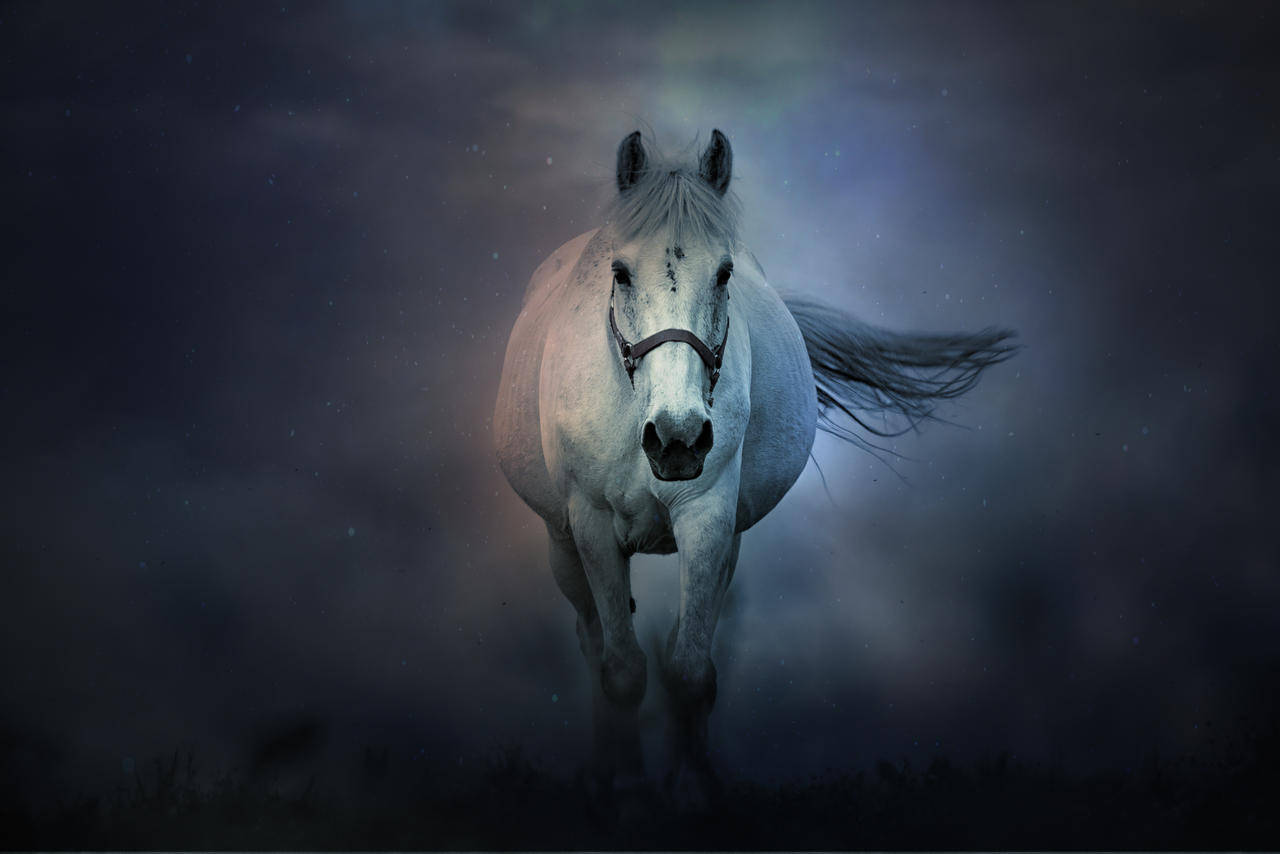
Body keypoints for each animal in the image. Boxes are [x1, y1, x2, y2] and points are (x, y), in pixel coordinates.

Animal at [493, 129, 1016, 808]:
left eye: (724, 273)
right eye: (620, 272)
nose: (678, 439)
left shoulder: (710, 518)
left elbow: (690, 670)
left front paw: (691, 787)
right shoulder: (592, 526)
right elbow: (622, 670)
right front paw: (626, 785)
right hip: (562, 545)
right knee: (592, 641)